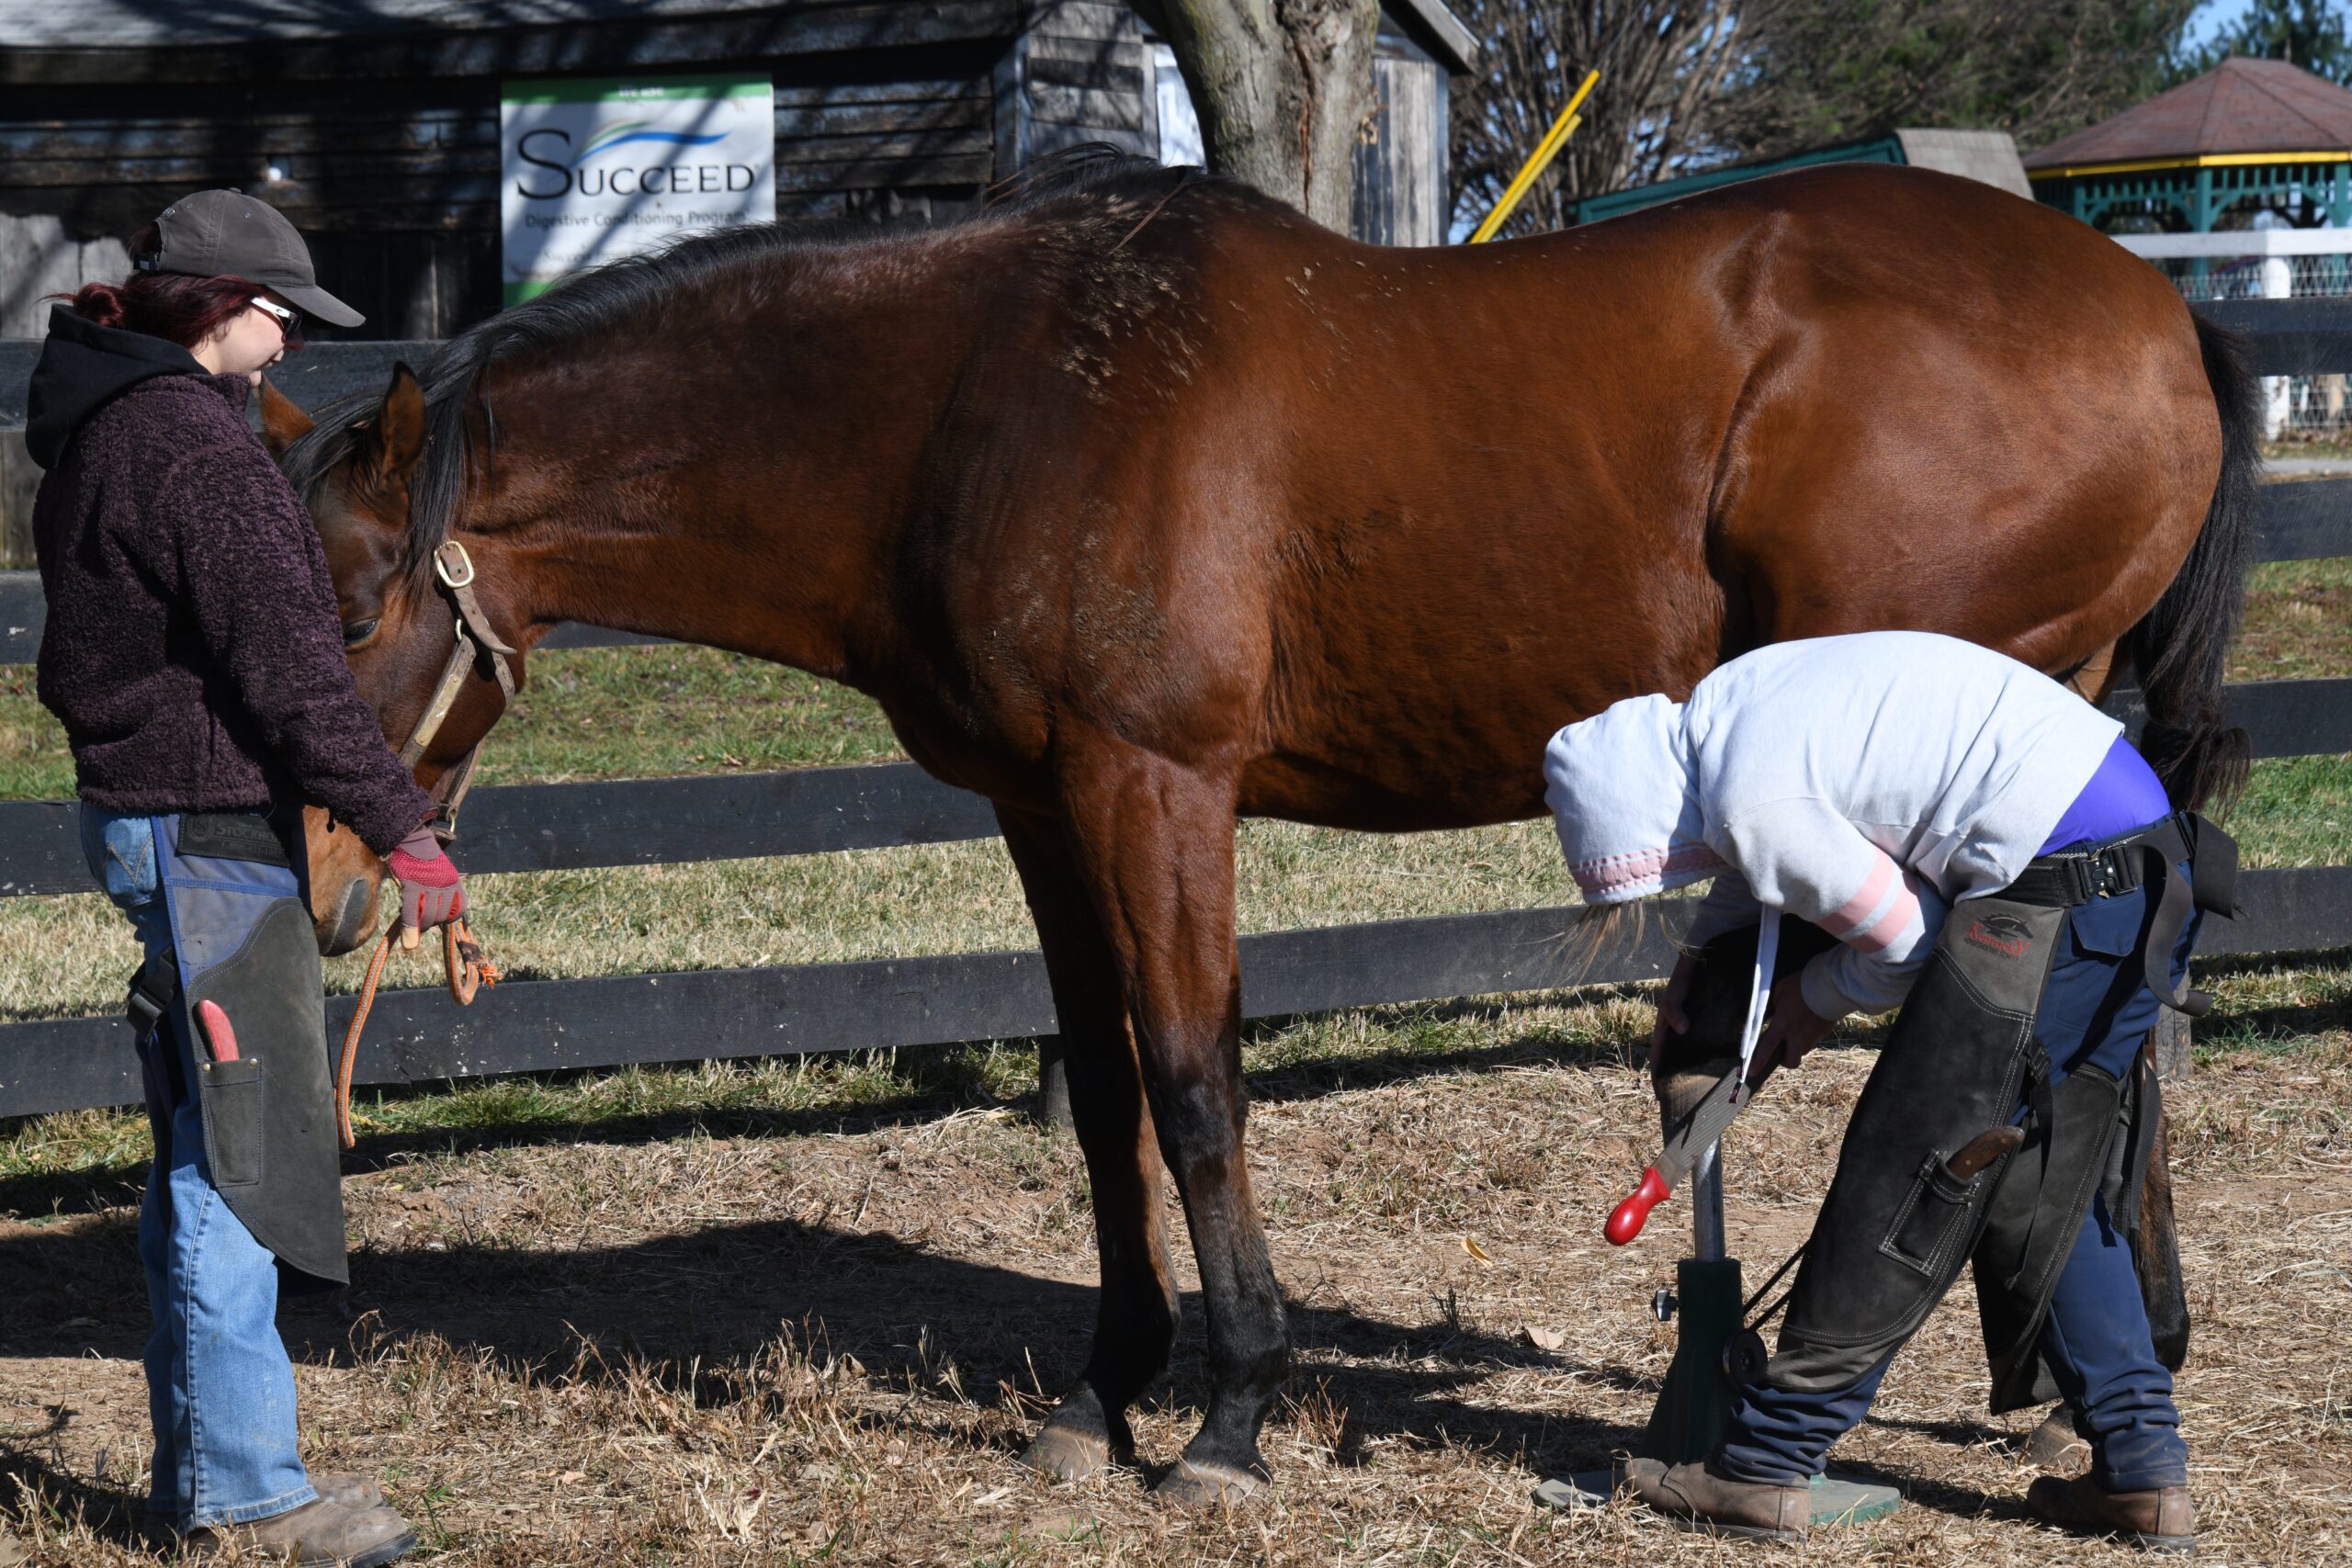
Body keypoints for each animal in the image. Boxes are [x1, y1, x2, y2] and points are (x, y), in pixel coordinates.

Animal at [269, 147, 2255, 1503]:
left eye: (350, 604)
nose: (327, 884)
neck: (980, 394)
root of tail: (2162, 307)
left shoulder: (1155, 788)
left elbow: (1194, 1077)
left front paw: (1226, 1407)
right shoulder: (1042, 805)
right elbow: (1099, 1099)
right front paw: (1104, 1385)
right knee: (2093, 1018)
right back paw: (2102, 1417)